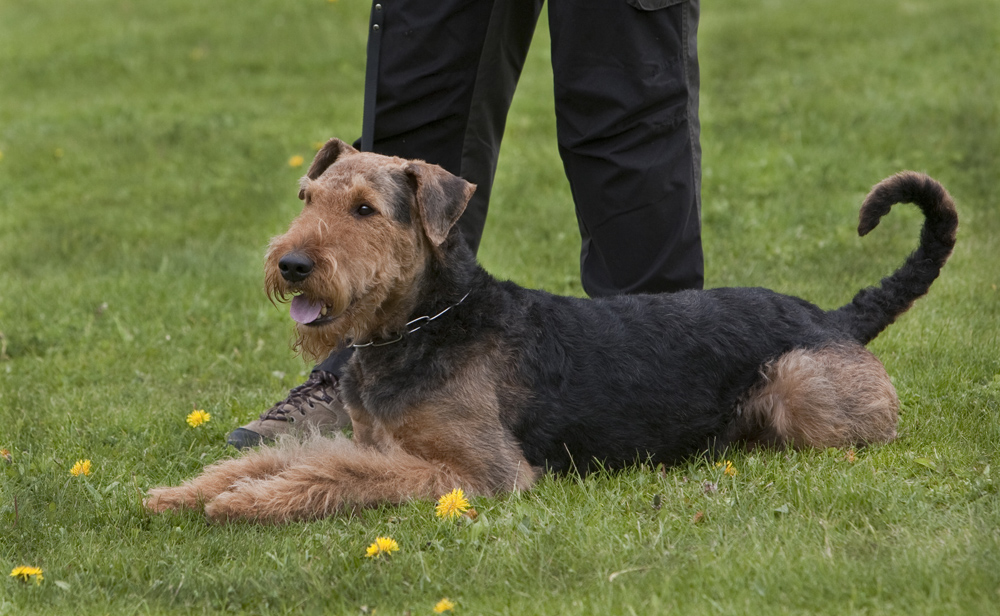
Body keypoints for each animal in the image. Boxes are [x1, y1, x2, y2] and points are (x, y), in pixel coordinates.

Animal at [145, 137, 956, 524]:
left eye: (365, 209)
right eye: (308, 197)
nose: (291, 264)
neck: (429, 323)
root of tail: (836, 315)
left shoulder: (479, 473)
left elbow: (334, 475)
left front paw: (240, 504)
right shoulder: (374, 437)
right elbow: (293, 456)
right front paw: (182, 493)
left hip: (802, 389)